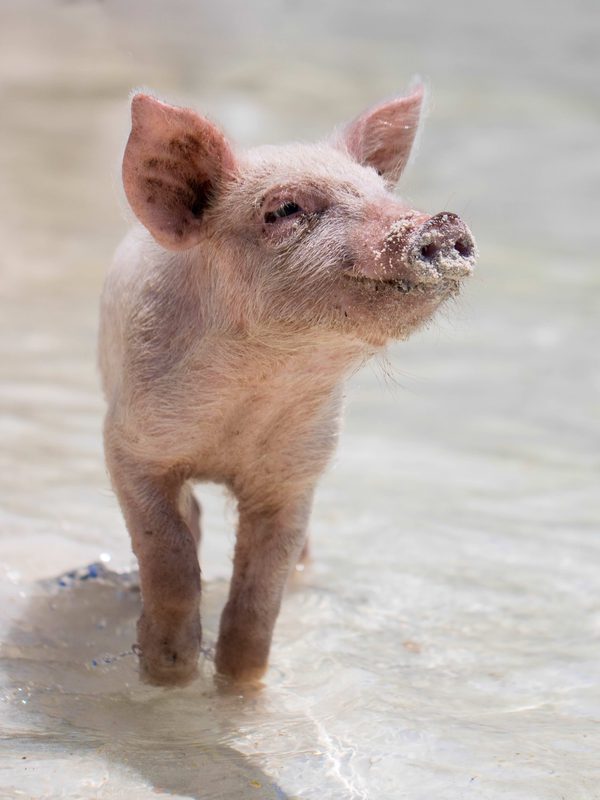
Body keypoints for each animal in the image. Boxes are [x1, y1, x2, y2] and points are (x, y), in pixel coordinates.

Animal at [98, 85, 476, 686]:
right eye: (283, 210)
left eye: (381, 191)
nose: (439, 222)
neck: (255, 393)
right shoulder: (129, 444)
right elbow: (169, 554)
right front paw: (168, 672)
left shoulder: (297, 474)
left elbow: (260, 595)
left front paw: (238, 685)